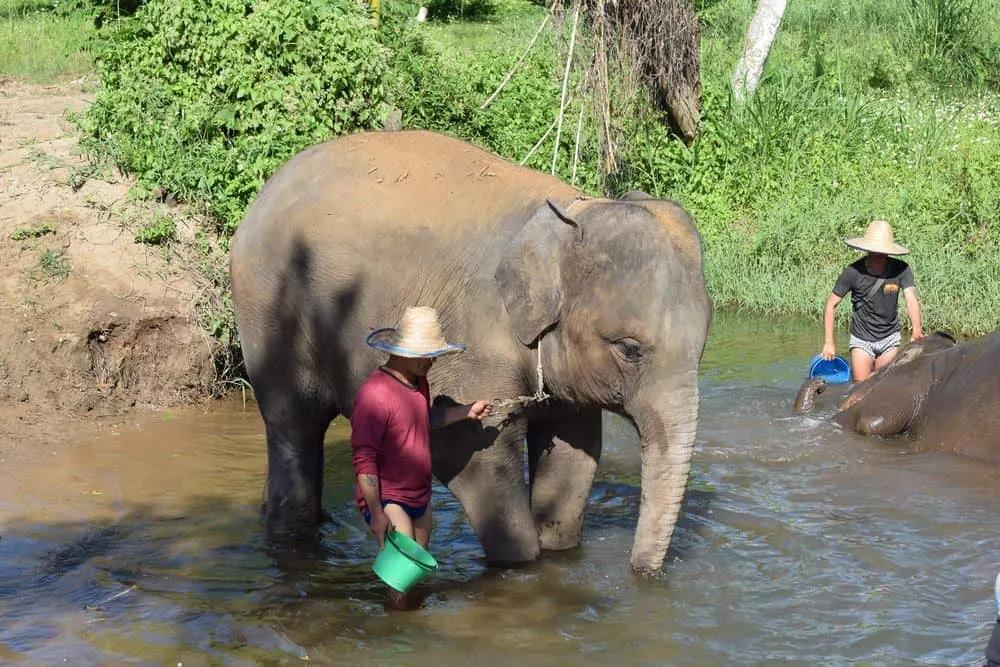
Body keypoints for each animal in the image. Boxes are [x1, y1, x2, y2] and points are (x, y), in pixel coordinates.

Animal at [229, 130, 711, 573]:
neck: (570, 211)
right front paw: (521, 562)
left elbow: (575, 453)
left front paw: (559, 549)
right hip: (269, 306)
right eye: (630, 349)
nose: (641, 573)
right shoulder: (474, 337)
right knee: (294, 425)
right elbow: (474, 453)